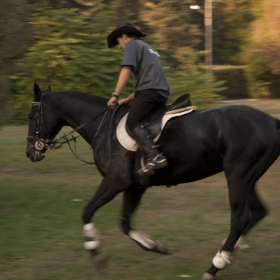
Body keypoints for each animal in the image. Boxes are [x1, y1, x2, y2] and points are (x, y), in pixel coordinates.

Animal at [25, 83, 280, 280]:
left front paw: (96, 253)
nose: (30, 153)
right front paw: (156, 246)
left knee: (239, 218)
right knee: (257, 212)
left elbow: (87, 212)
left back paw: (214, 266)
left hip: (237, 176)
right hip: (247, 178)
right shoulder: (135, 186)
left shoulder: (115, 181)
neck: (103, 127)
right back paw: (229, 254)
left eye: (31, 116)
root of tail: (272, 121)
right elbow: (125, 224)